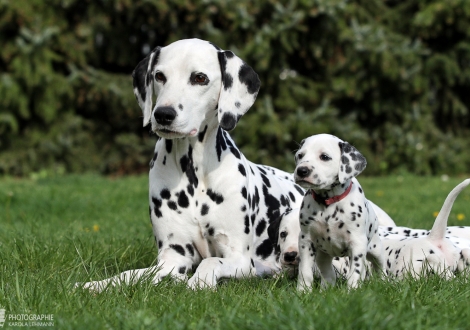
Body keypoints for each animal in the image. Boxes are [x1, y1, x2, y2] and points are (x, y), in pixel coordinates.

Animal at [80, 39, 392, 292]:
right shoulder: (172, 258)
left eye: (199, 78)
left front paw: (199, 282)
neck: (194, 175)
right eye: (159, 76)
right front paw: (97, 284)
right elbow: (129, 275)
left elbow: (210, 263)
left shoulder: (240, 259)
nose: (163, 115)